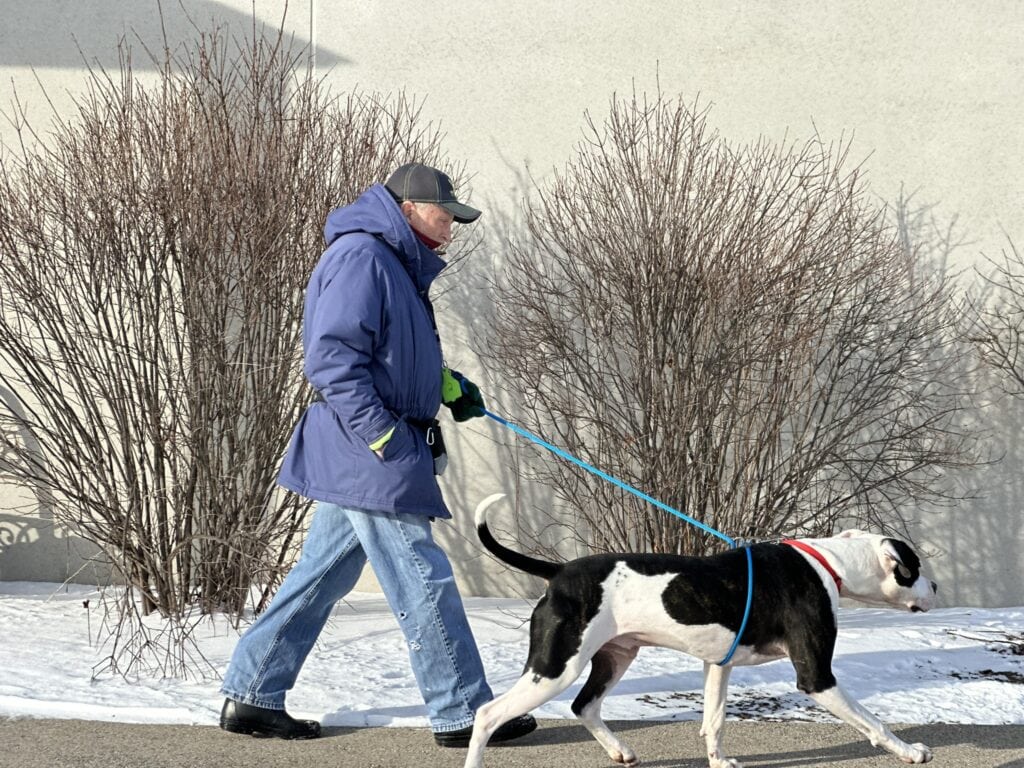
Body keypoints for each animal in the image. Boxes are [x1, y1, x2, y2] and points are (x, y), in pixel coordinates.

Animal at [465, 493, 938, 768]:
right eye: (914, 567)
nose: (935, 587)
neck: (828, 563)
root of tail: (559, 572)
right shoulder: (817, 677)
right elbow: (874, 723)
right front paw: (911, 751)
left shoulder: (717, 665)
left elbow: (714, 721)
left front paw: (719, 761)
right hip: (555, 666)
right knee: (488, 714)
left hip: (614, 657)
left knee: (585, 706)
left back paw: (620, 751)